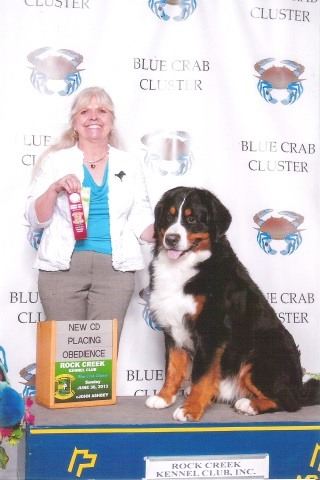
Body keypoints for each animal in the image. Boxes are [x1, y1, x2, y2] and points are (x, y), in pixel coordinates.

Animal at [146, 186, 320, 422]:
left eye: (191, 219)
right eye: (168, 216)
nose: (171, 239)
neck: (185, 268)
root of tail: (299, 387)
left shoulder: (211, 330)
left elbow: (201, 374)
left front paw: (191, 409)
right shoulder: (171, 328)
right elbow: (172, 366)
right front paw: (164, 397)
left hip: (260, 356)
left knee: (288, 401)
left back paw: (248, 404)